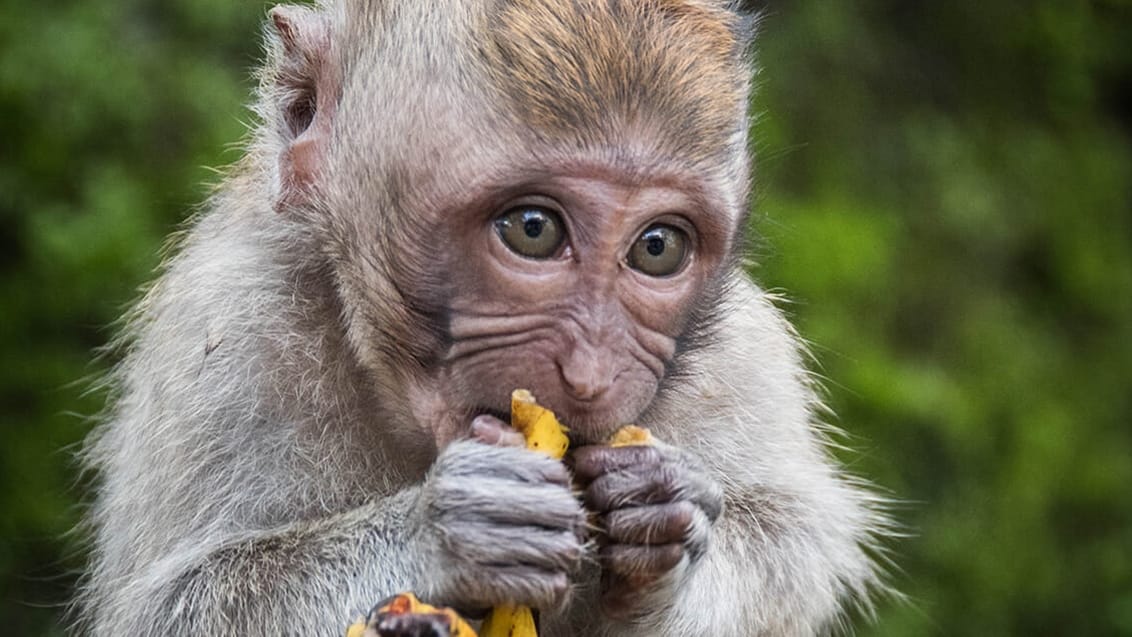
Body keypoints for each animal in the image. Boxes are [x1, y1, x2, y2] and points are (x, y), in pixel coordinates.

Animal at [77, 1, 892, 637]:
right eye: (532, 229)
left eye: (657, 247)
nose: (590, 373)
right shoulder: (230, 322)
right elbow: (173, 604)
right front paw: (449, 532)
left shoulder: (744, 358)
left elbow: (797, 540)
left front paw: (668, 517)